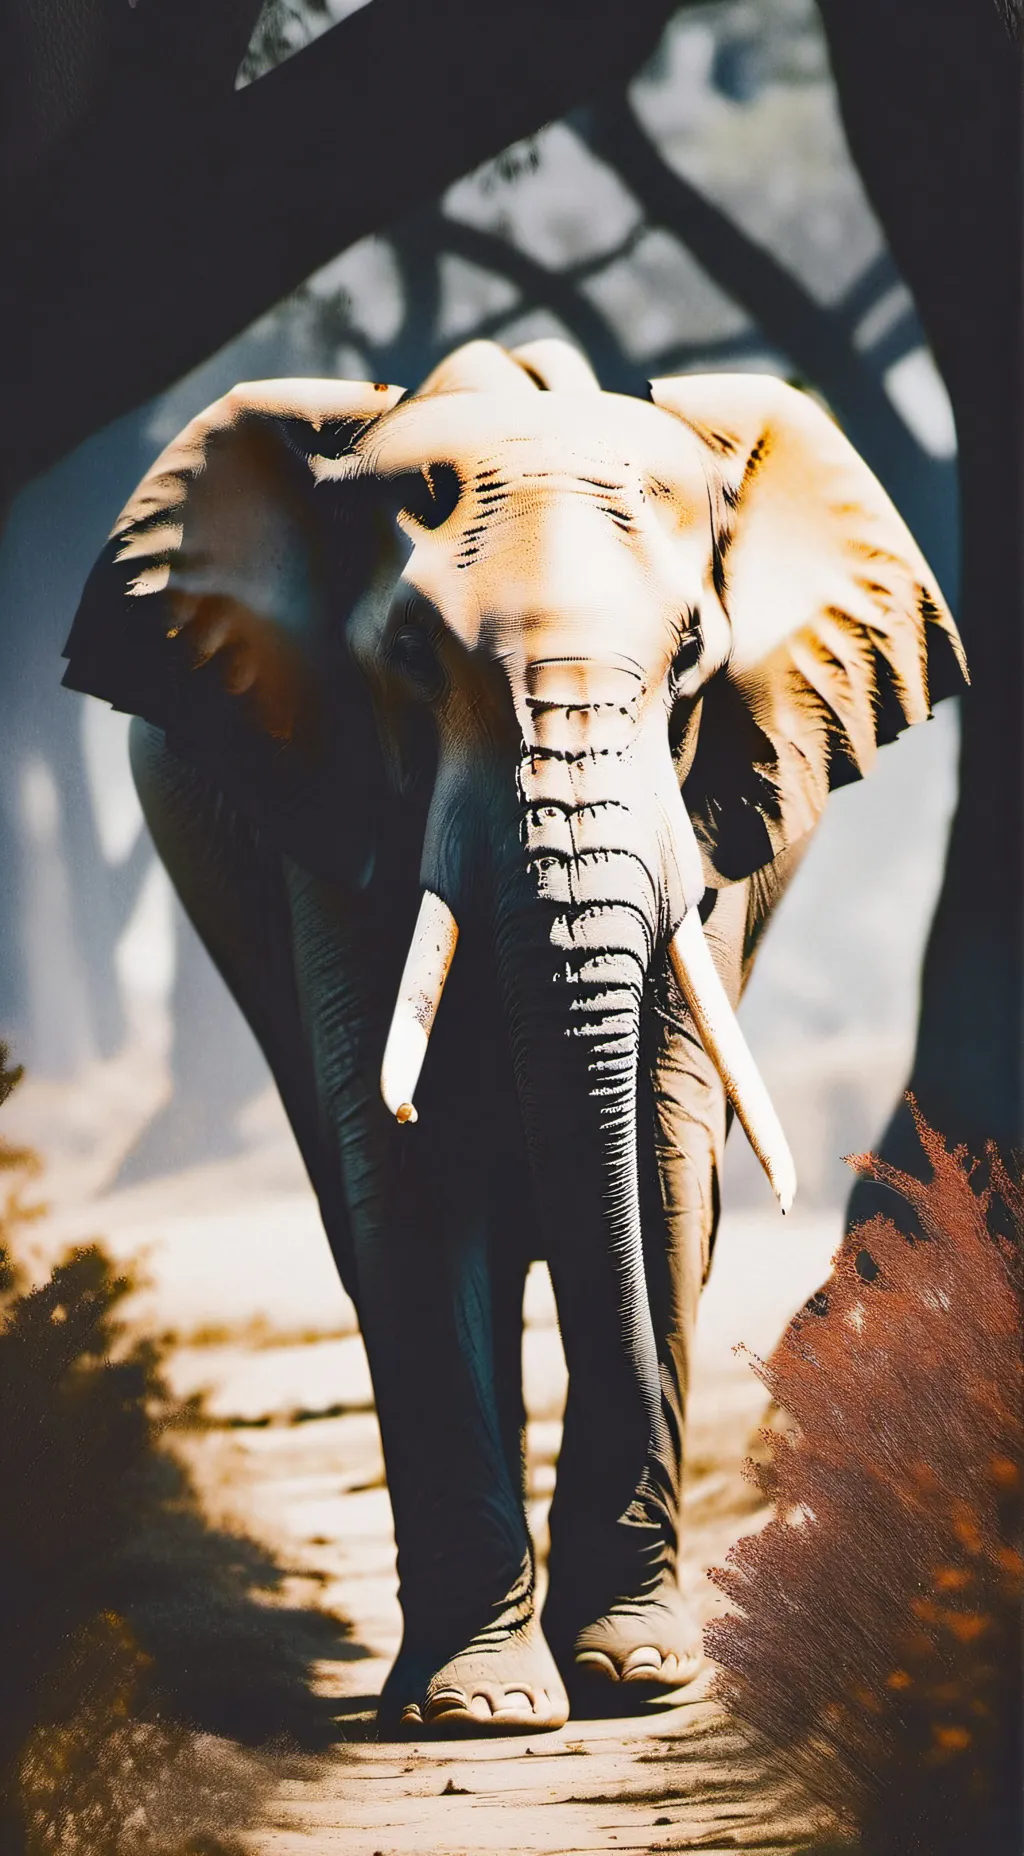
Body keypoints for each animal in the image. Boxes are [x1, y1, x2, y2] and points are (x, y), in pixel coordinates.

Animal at [63, 337, 965, 1735]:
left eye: (692, 661)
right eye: (411, 658)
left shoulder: (709, 821)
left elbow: (658, 1153)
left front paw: (636, 1676)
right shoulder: (329, 800)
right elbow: (413, 1170)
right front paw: (484, 1704)